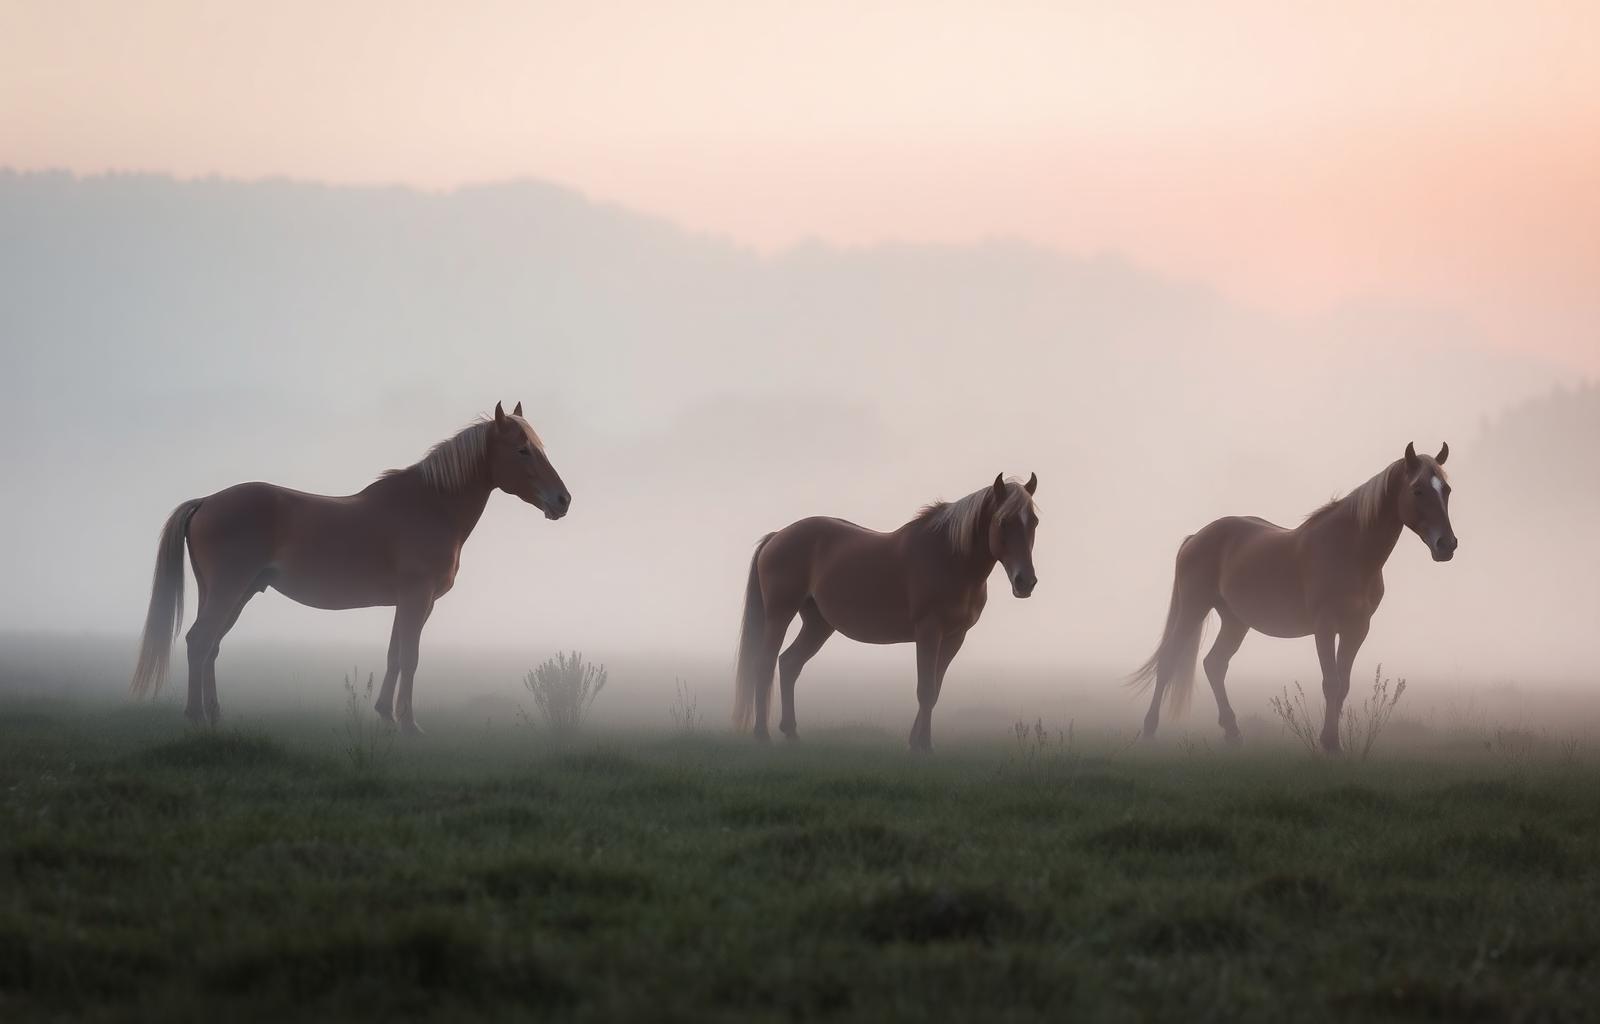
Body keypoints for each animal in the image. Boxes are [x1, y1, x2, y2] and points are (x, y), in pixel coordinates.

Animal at [128, 402, 570, 731]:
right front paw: (408, 725)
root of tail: (206, 501)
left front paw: (385, 716)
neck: (430, 506)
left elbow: (394, 655)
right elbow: (410, 657)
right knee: (199, 641)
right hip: (228, 591)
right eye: (523, 450)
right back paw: (196, 716)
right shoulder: (418, 599)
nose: (562, 500)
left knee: (210, 647)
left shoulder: (407, 603)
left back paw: (214, 715)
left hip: (234, 594)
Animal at [733, 473, 1040, 752]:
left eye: (1034, 522)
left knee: (789, 664)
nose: (1025, 582)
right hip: (779, 615)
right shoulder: (928, 632)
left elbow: (935, 689)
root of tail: (777, 536)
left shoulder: (955, 637)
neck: (949, 559)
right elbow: (925, 690)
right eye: (1003, 521)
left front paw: (917, 741)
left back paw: (792, 733)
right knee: (766, 664)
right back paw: (762, 735)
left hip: (818, 624)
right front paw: (922, 747)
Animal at [1130, 442, 1456, 753]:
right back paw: (1148, 730)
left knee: (1215, 664)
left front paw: (1332, 740)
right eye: (1417, 490)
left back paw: (1233, 733)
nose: (1446, 545)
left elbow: (1343, 684)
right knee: (1169, 660)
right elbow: (1331, 683)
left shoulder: (1356, 629)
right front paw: (1330, 743)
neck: (1348, 551)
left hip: (1235, 620)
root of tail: (1196, 537)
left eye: (1447, 490)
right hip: (1193, 608)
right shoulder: (1325, 627)